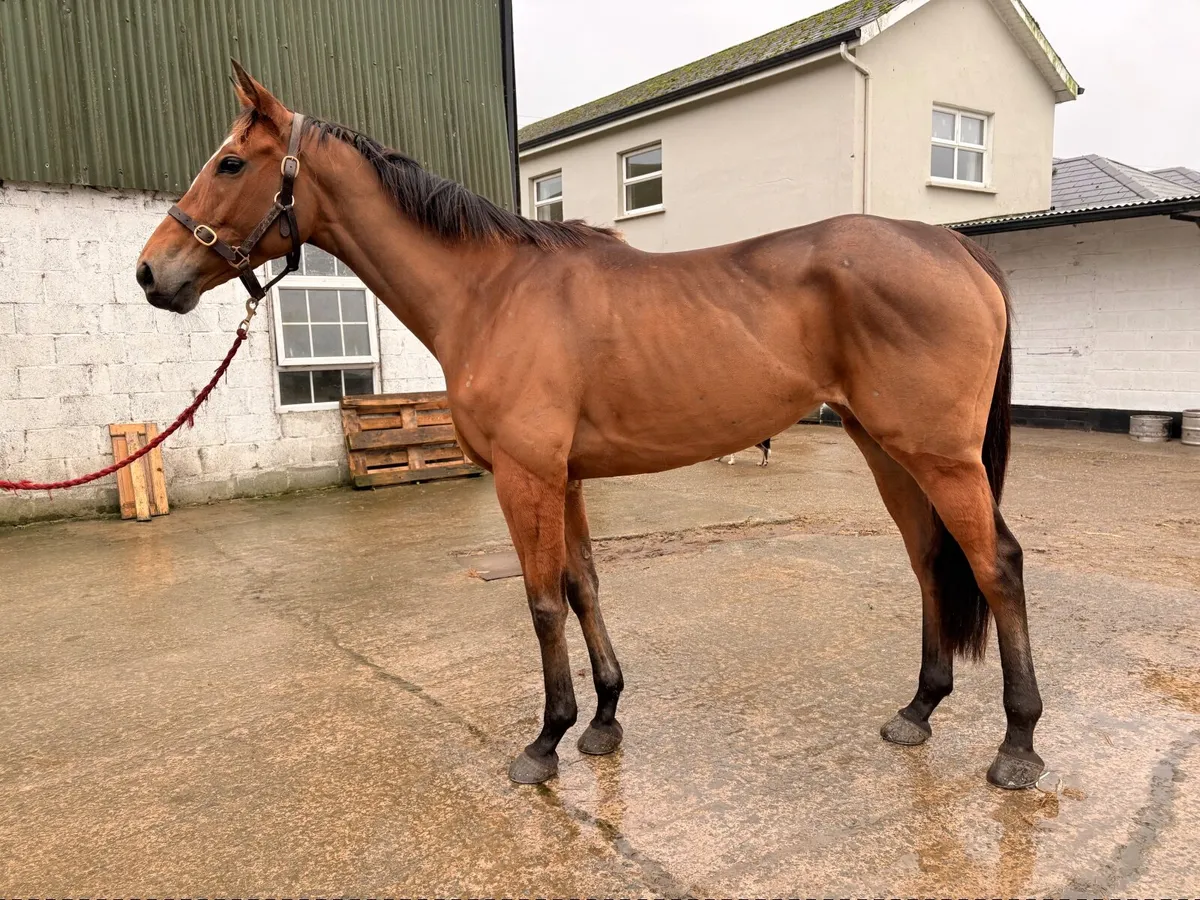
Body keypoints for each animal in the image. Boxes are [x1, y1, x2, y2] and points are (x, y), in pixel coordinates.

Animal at [136, 63, 1044, 790]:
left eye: (230, 162)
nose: (151, 273)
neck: (491, 292)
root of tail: (954, 247)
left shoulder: (524, 475)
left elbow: (541, 601)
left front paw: (545, 739)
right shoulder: (564, 477)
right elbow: (584, 587)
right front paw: (604, 720)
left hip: (940, 455)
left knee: (994, 564)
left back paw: (1018, 745)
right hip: (888, 449)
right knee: (929, 561)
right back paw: (918, 709)